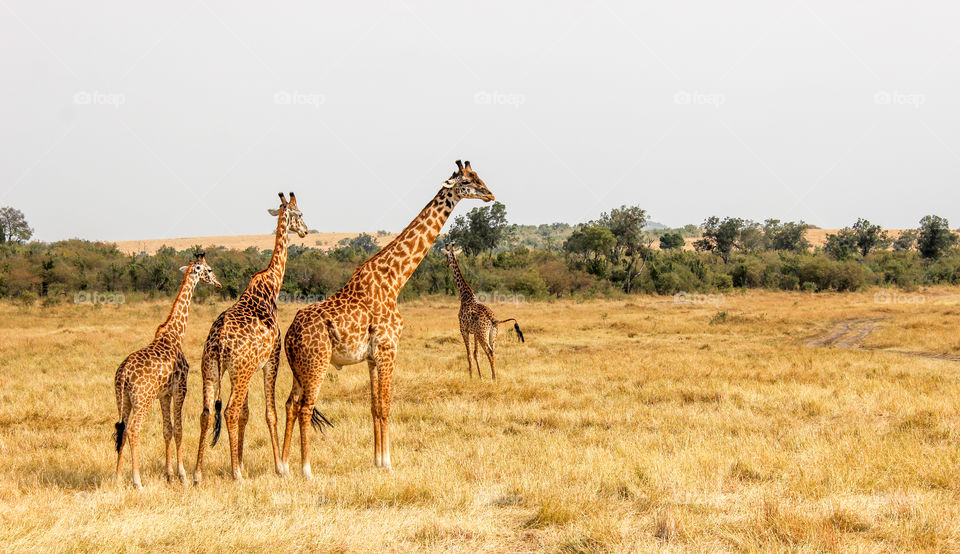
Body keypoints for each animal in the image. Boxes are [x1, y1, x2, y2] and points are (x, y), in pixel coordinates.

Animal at [113, 251, 222, 488]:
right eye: (208, 270)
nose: (218, 283)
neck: (175, 333)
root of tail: (124, 373)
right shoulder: (180, 389)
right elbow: (179, 429)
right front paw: (182, 475)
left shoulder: (163, 394)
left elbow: (167, 430)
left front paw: (169, 474)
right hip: (142, 400)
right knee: (134, 430)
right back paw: (137, 481)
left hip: (122, 400)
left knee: (121, 429)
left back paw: (116, 478)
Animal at [195, 192, 312, 480]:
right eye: (300, 214)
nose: (305, 231)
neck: (272, 285)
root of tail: (220, 341)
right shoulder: (272, 359)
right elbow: (269, 413)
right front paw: (279, 467)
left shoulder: (247, 369)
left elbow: (247, 414)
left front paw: (242, 461)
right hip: (240, 370)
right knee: (229, 411)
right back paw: (236, 475)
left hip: (212, 370)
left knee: (207, 413)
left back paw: (197, 473)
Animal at [282, 160, 496, 474]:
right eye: (468, 181)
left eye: (479, 176)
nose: (490, 195)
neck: (394, 280)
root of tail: (288, 336)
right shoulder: (388, 348)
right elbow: (386, 406)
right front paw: (388, 462)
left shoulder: (373, 356)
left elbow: (374, 407)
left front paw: (376, 460)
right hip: (316, 363)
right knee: (305, 407)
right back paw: (306, 470)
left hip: (299, 367)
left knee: (290, 404)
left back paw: (282, 466)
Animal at [442, 243, 524, 380]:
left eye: (446, 256)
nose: (446, 265)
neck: (465, 296)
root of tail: (494, 319)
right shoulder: (474, 332)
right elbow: (476, 353)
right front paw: (480, 377)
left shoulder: (463, 329)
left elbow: (469, 354)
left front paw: (470, 377)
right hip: (492, 334)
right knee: (493, 351)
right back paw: (494, 377)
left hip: (482, 334)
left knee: (489, 352)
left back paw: (494, 378)